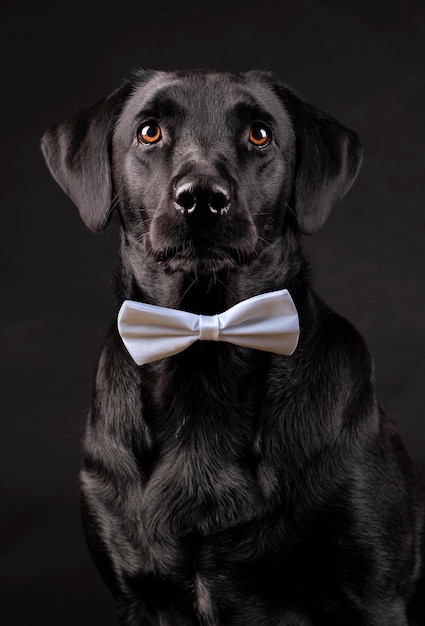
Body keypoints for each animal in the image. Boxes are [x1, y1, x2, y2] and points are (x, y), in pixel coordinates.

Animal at [40, 69, 424, 624]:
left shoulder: (373, 595)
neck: (204, 354)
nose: (201, 198)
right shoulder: (137, 595)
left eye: (259, 134)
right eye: (149, 130)